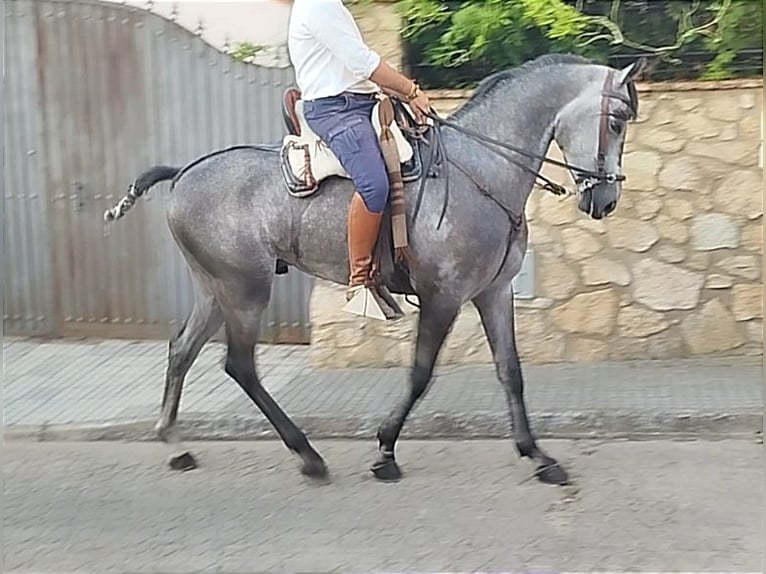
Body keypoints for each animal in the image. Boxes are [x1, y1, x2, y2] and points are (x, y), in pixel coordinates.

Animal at [106, 53, 648, 486]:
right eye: (618, 120)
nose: (606, 198)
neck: (481, 168)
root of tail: (183, 172)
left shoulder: (493, 292)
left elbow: (510, 372)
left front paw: (537, 456)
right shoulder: (443, 296)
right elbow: (421, 374)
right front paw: (386, 449)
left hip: (214, 288)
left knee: (182, 350)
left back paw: (175, 443)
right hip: (244, 290)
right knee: (239, 365)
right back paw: (308, 456)